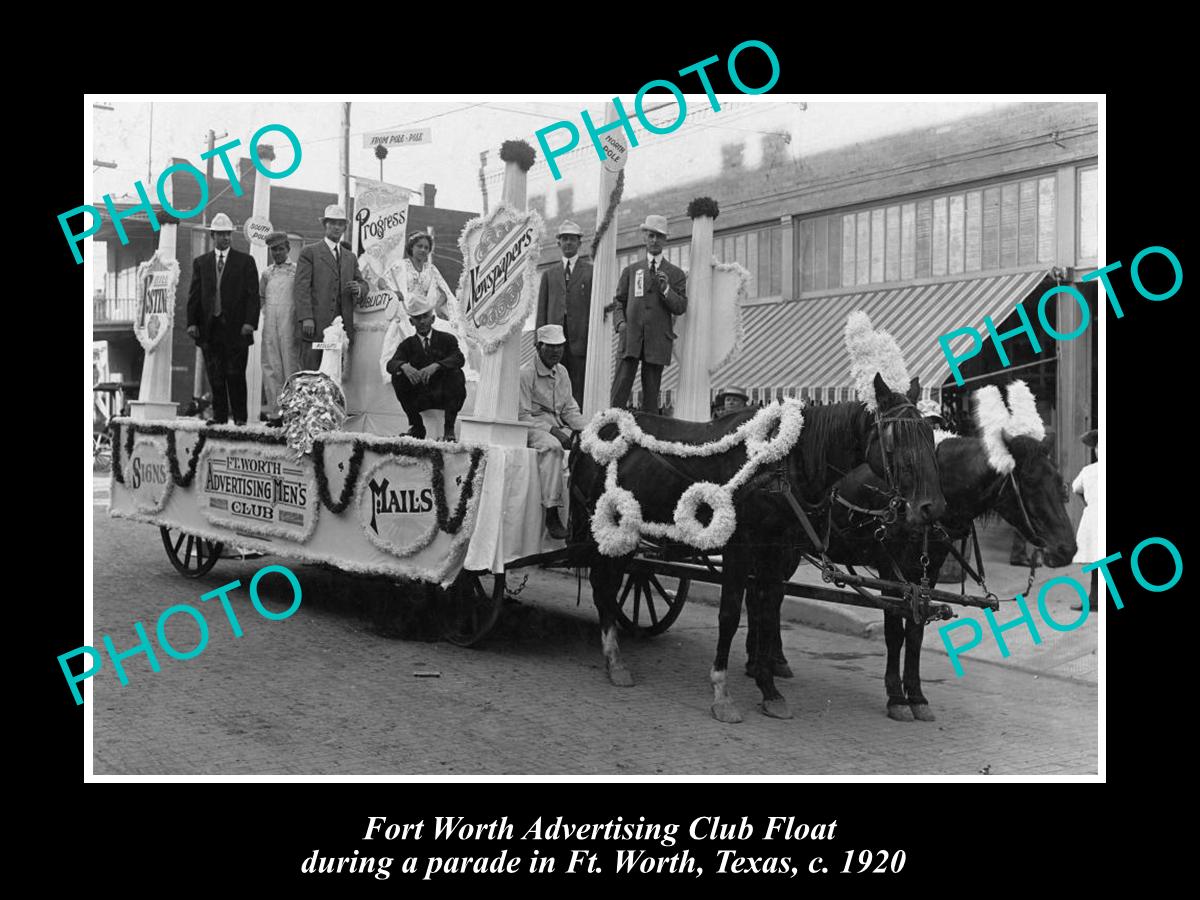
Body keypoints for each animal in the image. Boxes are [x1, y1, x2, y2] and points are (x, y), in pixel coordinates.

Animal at [571, 376, 945, 724]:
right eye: (895, 439)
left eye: (930, 435)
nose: (931, 507)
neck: (781, 465)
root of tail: (593, 431)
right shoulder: (740, 548)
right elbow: (730, 615)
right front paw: (722, 692)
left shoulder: (776, 551)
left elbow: (766, 612)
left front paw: (769, 689)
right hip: (604, 528)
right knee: (603, 586)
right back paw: (614, 659)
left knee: (609, 585)